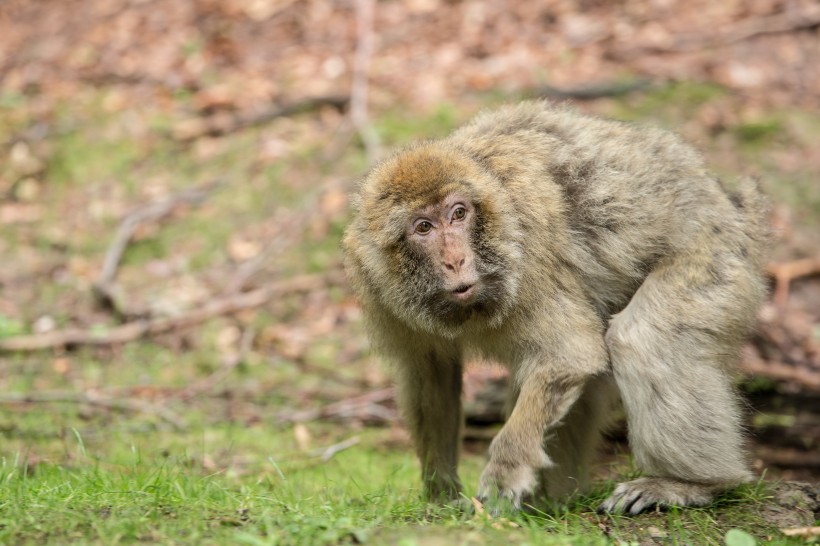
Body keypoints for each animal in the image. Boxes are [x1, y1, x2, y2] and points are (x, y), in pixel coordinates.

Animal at [342, 100, 772, 512]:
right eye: (424, 227)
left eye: (458, 213)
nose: (456, 261)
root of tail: (728, 201)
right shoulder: (378, 288)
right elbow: (431, 377)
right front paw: (441, 492)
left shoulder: (527, 260)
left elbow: (569, 355)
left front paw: (506, 469)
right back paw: (557, 499)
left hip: (714, 253)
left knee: (642, 339)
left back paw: (691, 484)